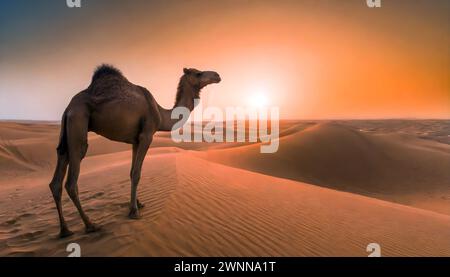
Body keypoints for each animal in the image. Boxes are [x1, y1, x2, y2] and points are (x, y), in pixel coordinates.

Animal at [49, 63, 221, 236]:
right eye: (198, 73)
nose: (217, 75)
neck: (160, 113)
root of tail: (68, 109)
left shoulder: (135, 141)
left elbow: (132, 171)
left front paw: (138, 203)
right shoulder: (147, 135)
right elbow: (137, 173)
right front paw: (134, 212)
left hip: (66, 134)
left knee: (56, 179)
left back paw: (65, 230)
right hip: (78, 122)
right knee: (71, 181)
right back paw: (90, 225)